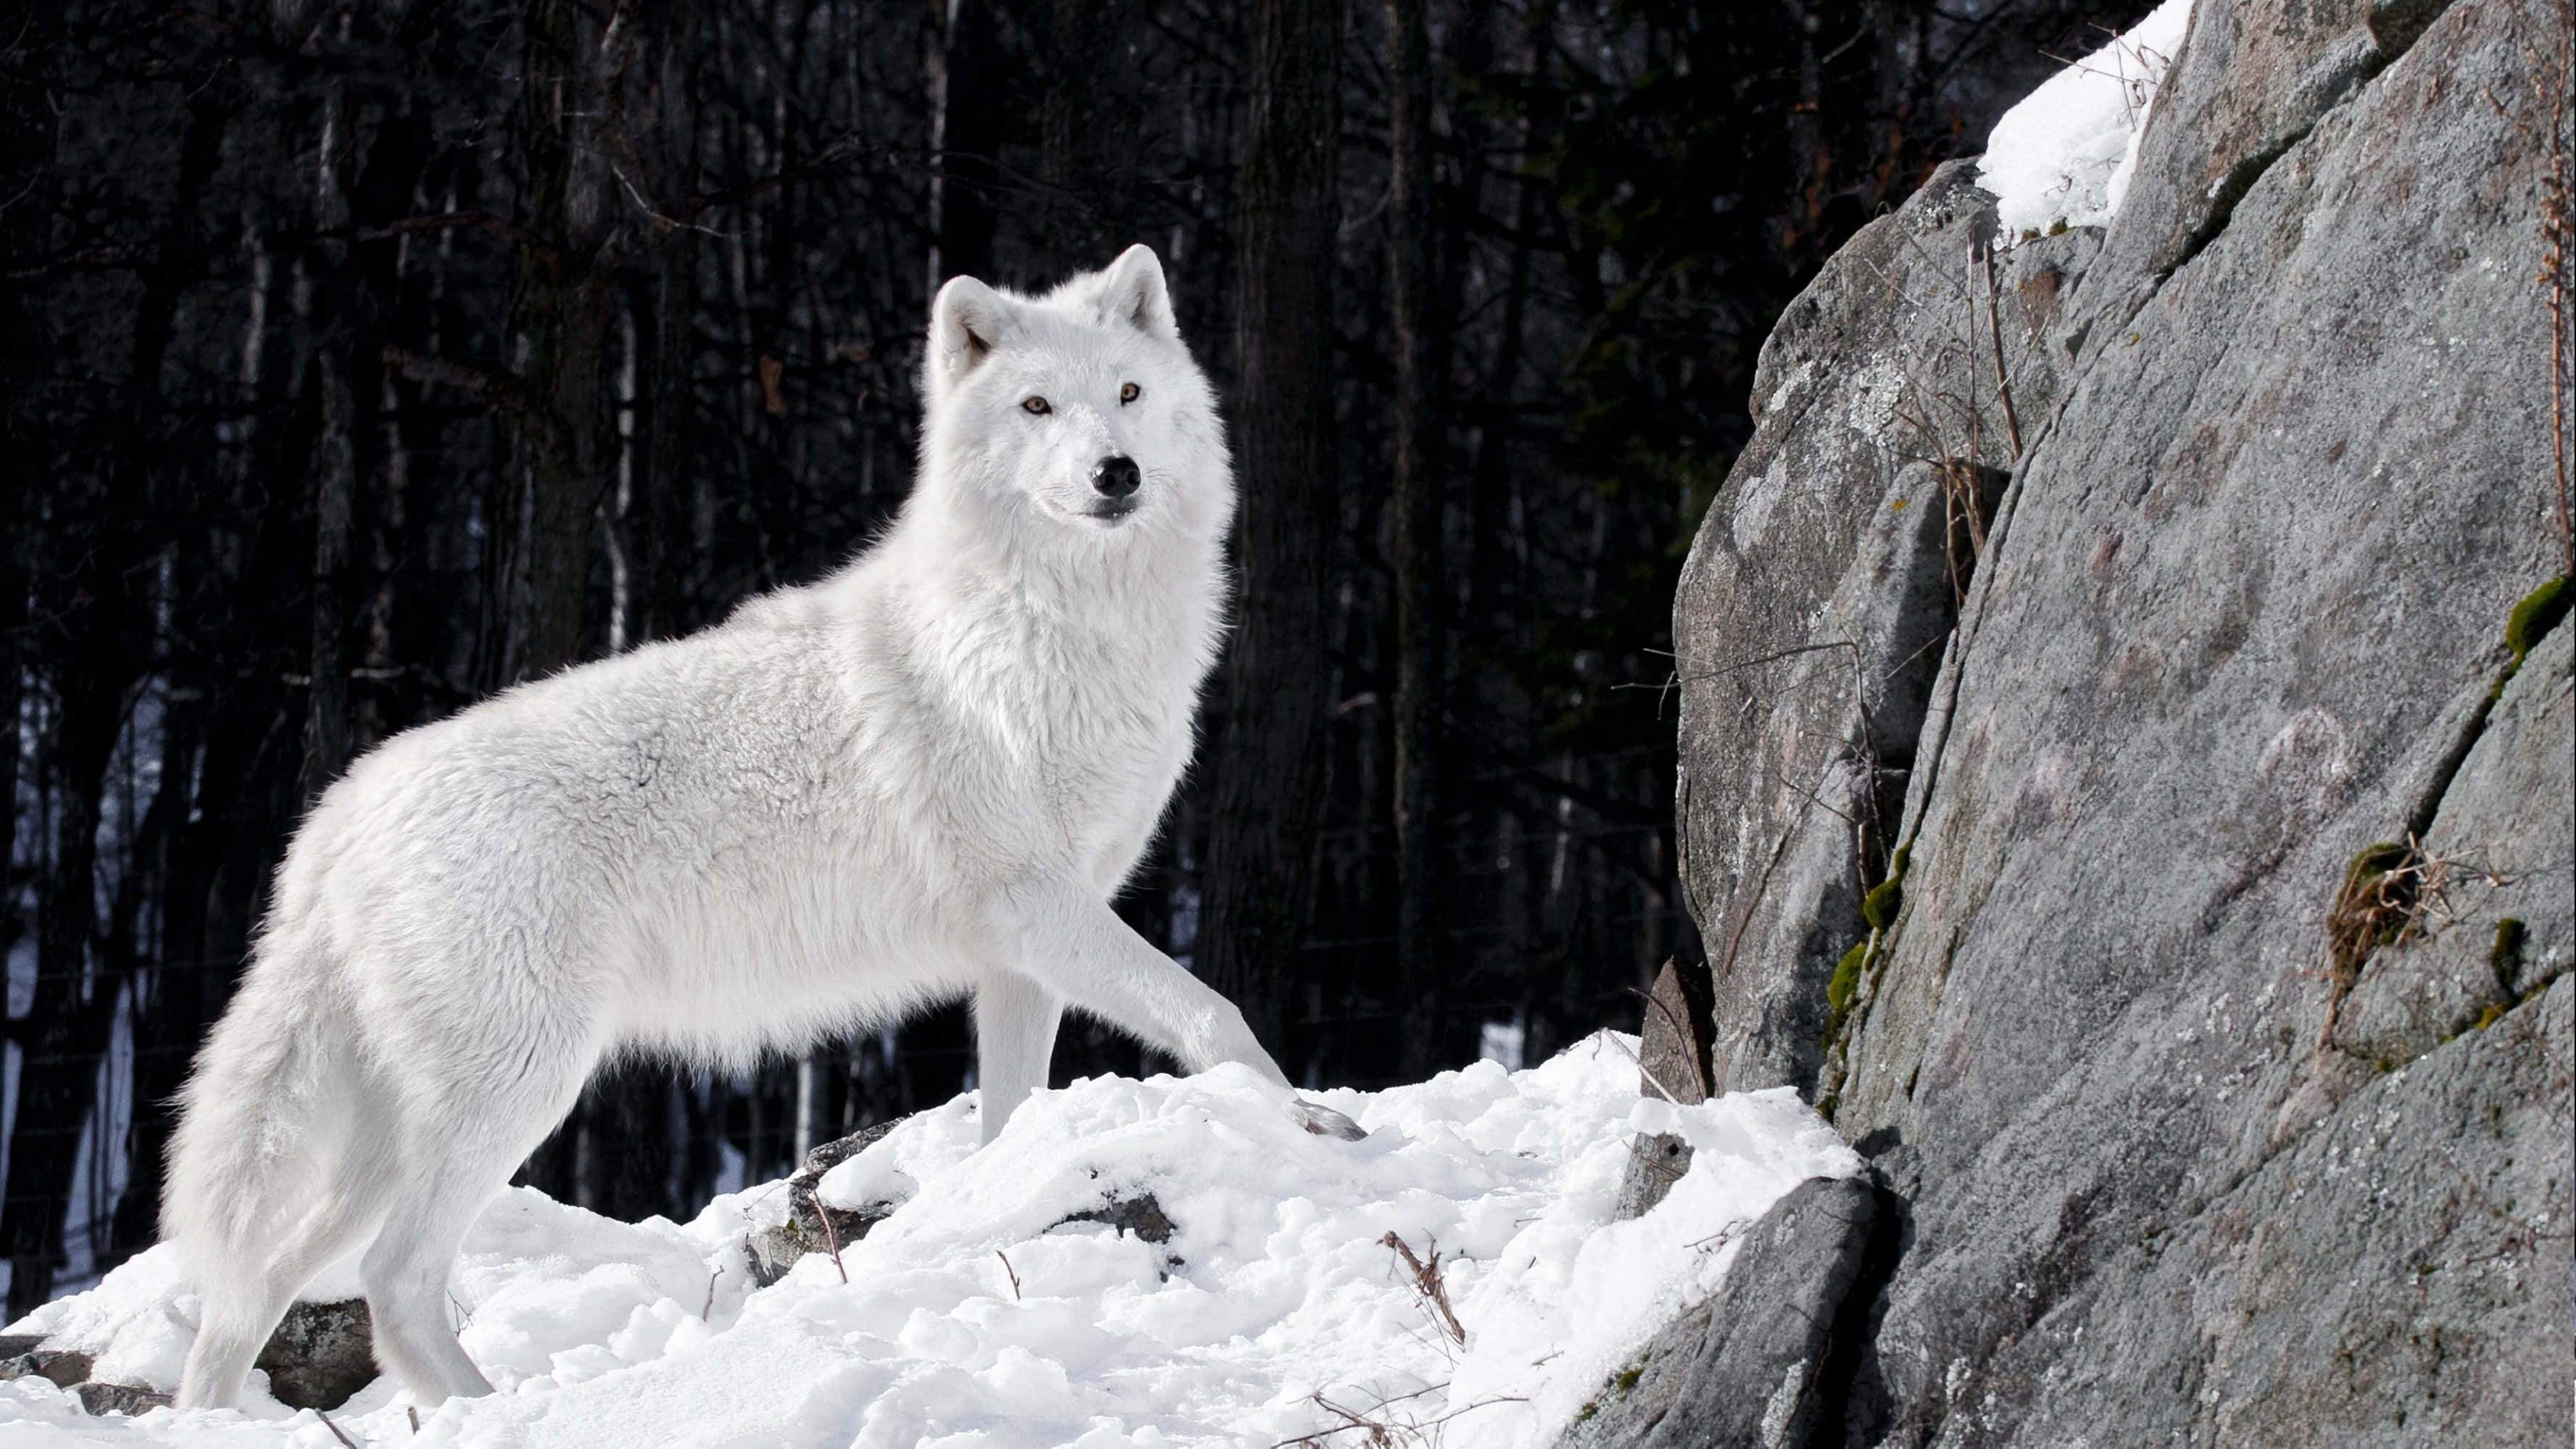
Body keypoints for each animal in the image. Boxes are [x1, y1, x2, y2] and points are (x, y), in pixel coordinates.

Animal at [163, 244, 1361, 1411]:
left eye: (1126, 394)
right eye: (1035, 405)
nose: (1116, 472)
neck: (1052, 628)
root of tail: (337, 816)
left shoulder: (1021, 954)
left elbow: (1012, 1115)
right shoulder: (1038, 905)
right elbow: (1214, 1013)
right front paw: (1312, 1124)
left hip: (389, 1139)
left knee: (254, 1287)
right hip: (517, 1088)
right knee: (392, 1277)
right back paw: (495, 1408)